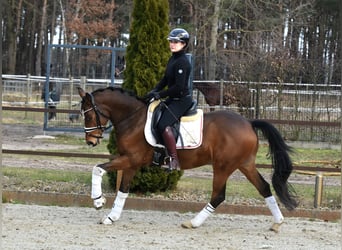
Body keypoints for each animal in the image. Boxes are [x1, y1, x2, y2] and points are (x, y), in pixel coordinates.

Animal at [77, 86, 296, 232]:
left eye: (88, 115)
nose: (90, 141)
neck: (133, 118)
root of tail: (249, 123)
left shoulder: (131, 158)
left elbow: (98, 168)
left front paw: (98, 201)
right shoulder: (131, 162)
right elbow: (123, 190)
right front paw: (111, 217)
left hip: (223, 166)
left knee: (218, 196)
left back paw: (193, 222)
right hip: (245, 164)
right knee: (264, 187)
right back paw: (277, 222)